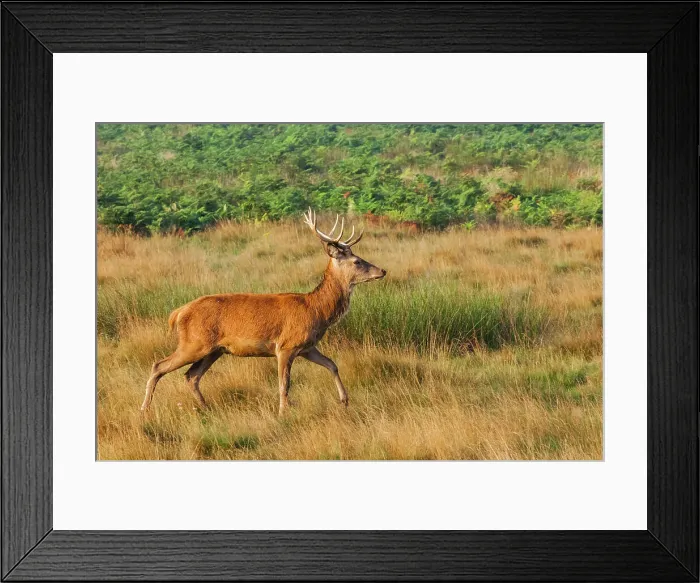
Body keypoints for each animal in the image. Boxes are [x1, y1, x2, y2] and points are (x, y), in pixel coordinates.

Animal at [141, 209, 386, 416]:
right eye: (357, 261)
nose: (382, 270)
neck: (317, 310)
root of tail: (178, 313)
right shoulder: (285, 345)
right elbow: (284, 384)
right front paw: (283, 413)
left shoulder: (307, 347)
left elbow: (332, 364)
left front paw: (344, 400)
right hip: (194, 343)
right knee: (159, 366)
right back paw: (145, 409)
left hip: (214, 350)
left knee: (192, 376)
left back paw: (206, 408)